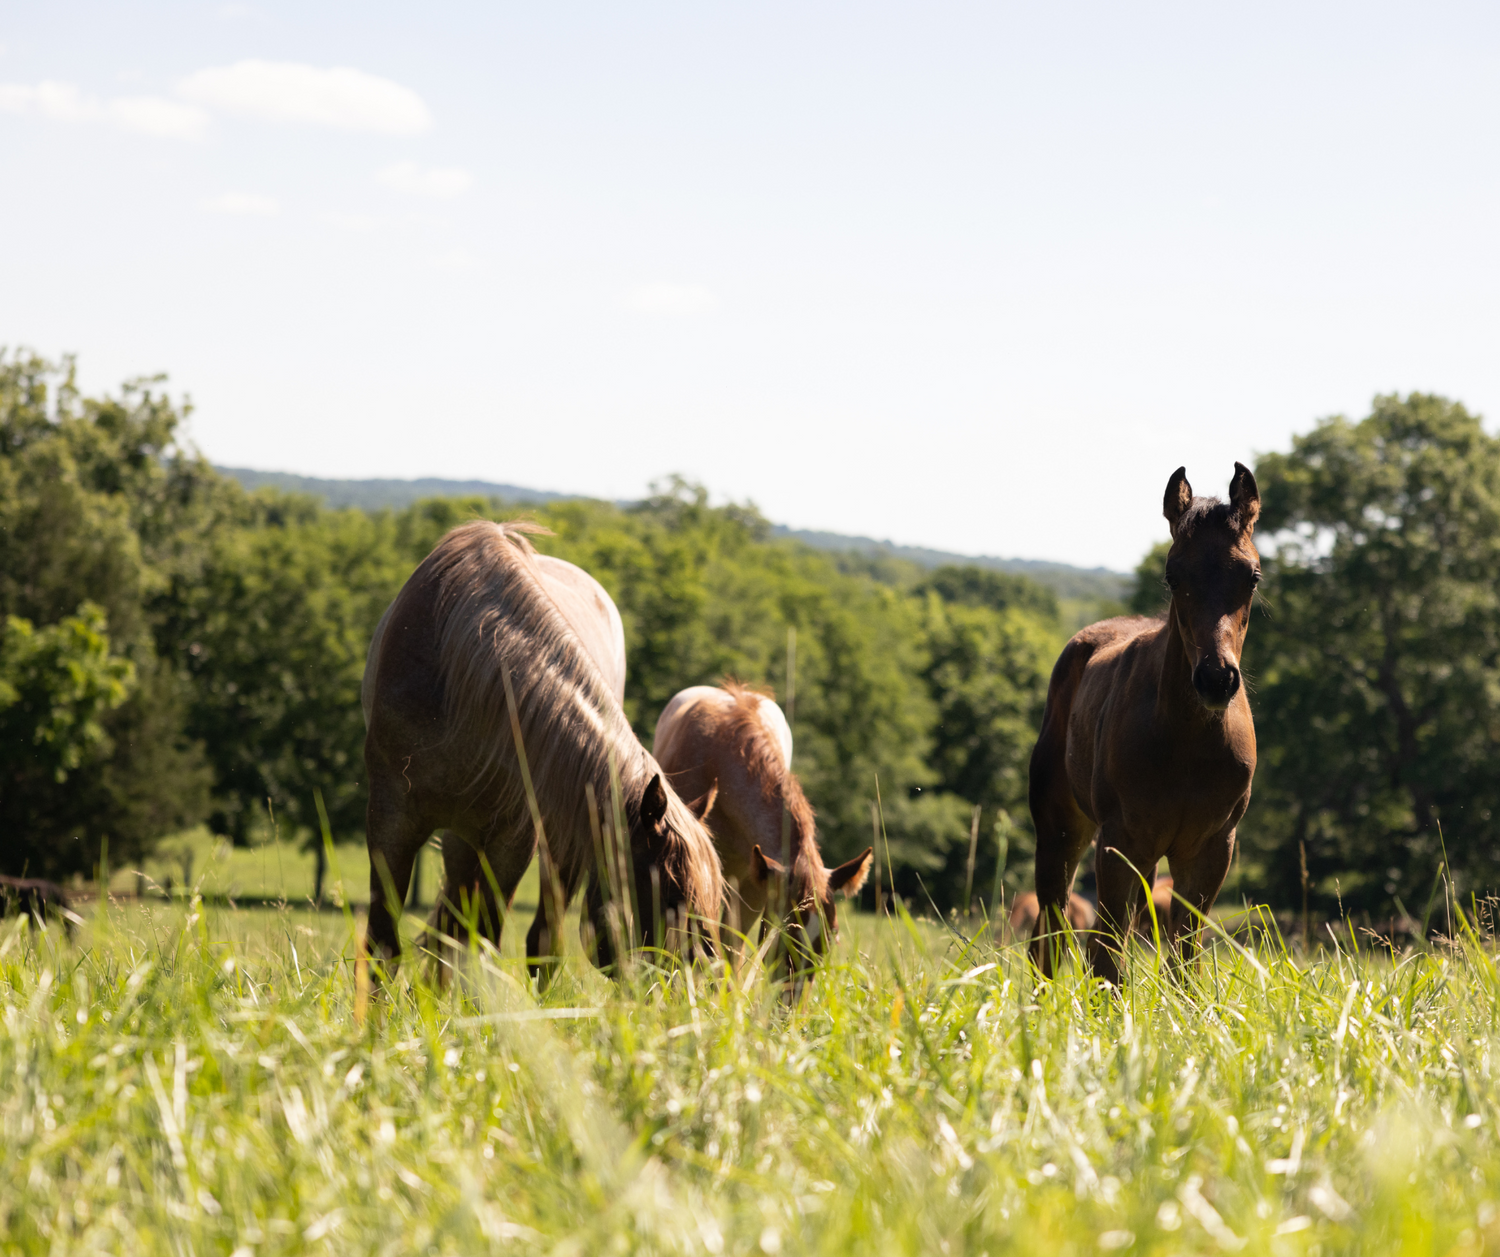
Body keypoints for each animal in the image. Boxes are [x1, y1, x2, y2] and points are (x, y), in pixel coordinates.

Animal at [361, 520, 724, 977]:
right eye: (672, 893)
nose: (710, 979)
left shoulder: (514, 840)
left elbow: (482, 942)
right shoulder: (390, 821)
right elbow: (384, 945)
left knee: (533, 938)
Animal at [1028, 464, 1260, 984]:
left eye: (1253, 576)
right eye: (1173, 576)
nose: (1216, 679)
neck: (1187, 743)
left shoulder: (1212, 848)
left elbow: (1184, 956)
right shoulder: (1119, 840)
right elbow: (1107, 954)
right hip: (1061, 829)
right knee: (1051, 930)